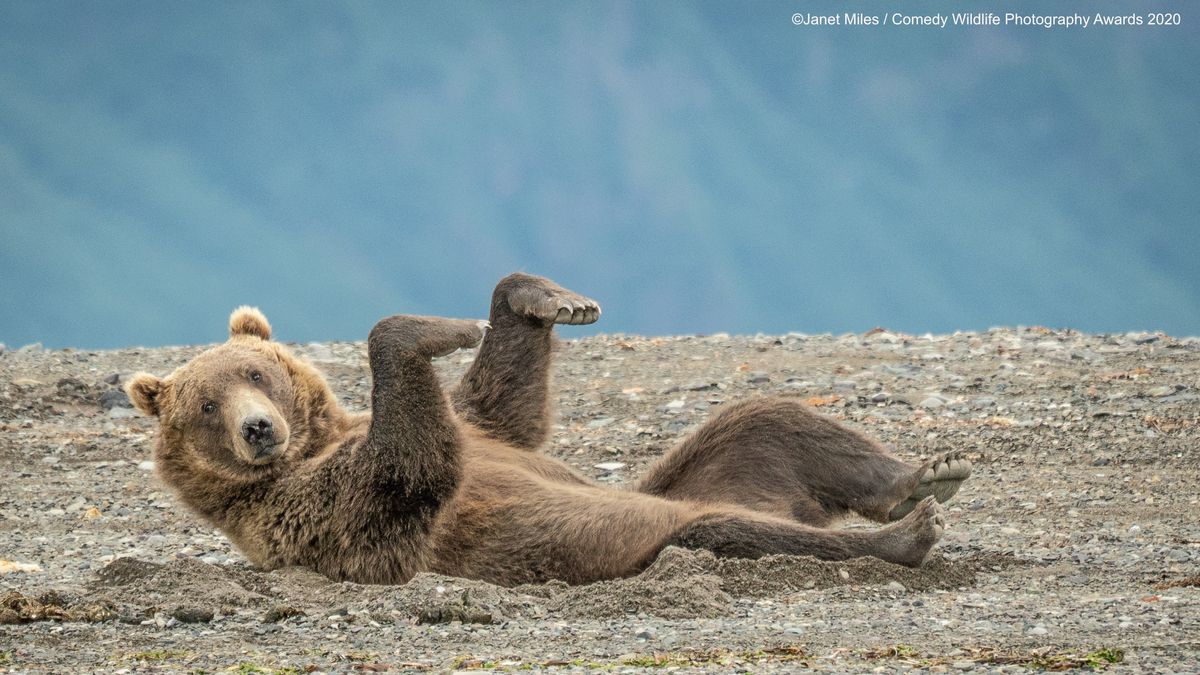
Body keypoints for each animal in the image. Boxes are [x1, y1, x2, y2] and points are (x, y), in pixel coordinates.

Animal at [126, 271, 969, 583]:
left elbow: (502, 402)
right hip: (644, 532)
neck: (318, 440)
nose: (259, 430)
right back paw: (904, 533)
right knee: (734, 529)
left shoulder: (482, 428)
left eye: (255, 372)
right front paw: (435, 327)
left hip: (709, 467)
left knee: (767, 419)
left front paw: (550, 300)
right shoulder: (316, 509)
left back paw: (925, 475)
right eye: (205, 405)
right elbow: (412, 465)